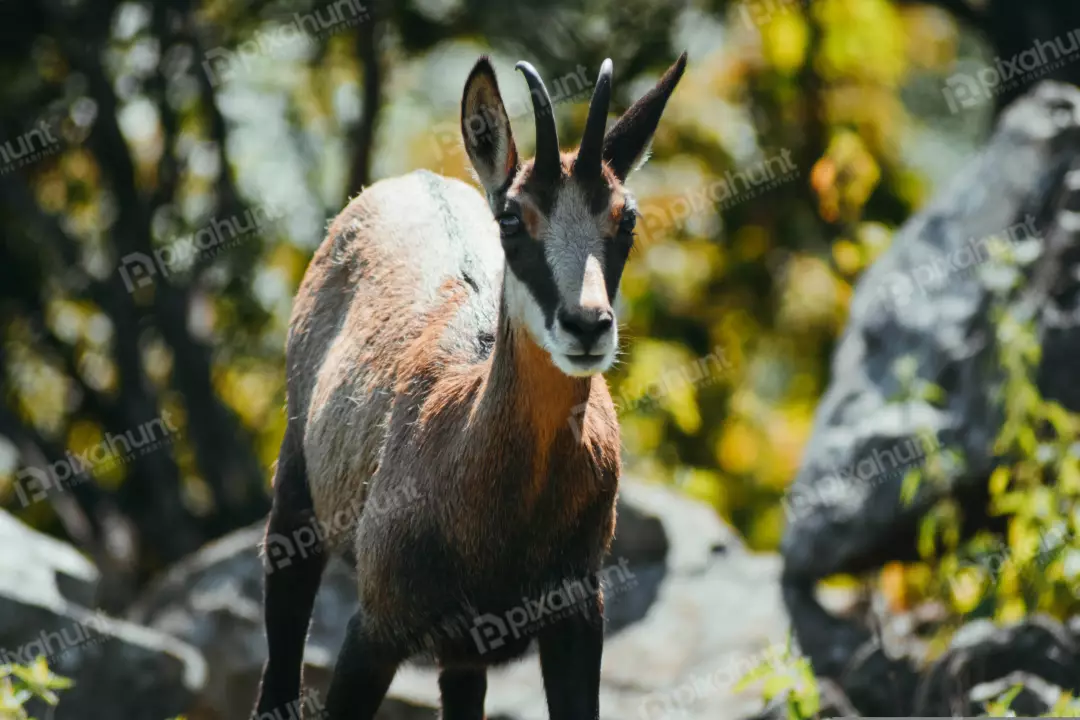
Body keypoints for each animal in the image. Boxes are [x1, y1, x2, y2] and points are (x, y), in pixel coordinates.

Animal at [252, 52, 687, 720]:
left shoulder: (576, 618)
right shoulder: (373, 630)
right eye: (512, 217)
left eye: (627, 218)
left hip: (464, 653)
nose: (587, 325)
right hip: (295, 500)